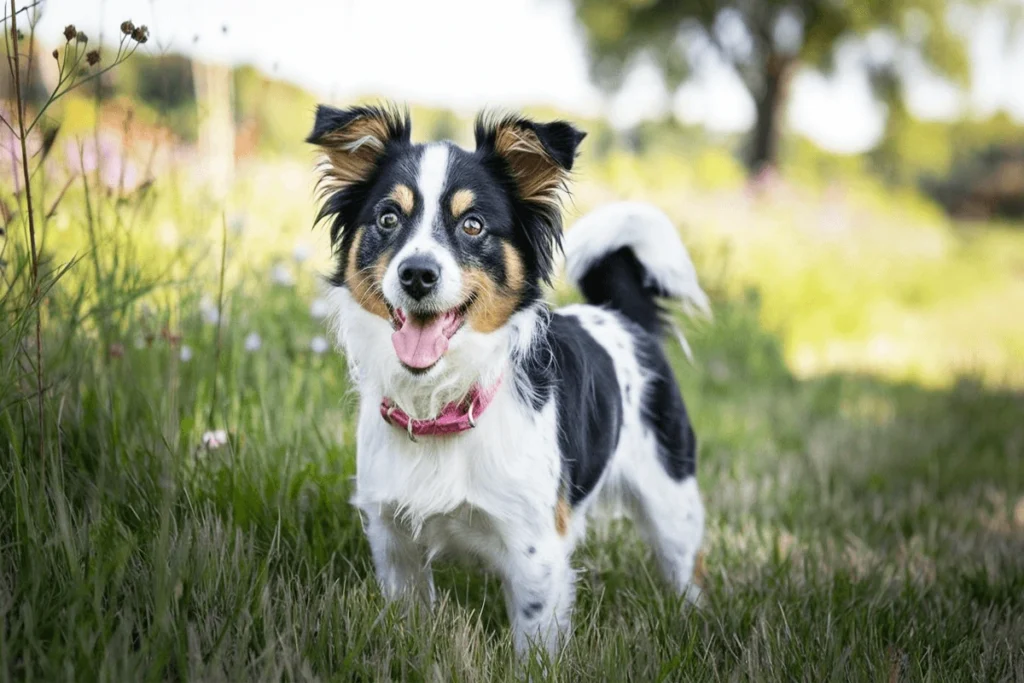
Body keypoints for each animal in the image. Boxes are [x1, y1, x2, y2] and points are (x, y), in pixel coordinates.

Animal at [307, 104, 708, 655]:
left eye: (473, 225)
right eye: (388, 218)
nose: (417, 274)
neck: (442, 403)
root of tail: (622, 317)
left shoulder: (536, 552)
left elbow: (535, 640)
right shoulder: (393, 542)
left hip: (672, 501)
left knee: (687, 571)